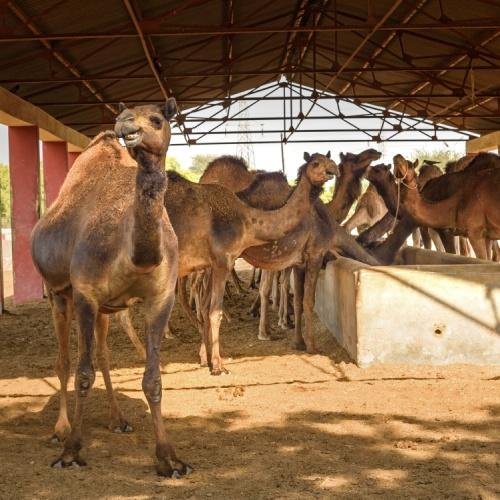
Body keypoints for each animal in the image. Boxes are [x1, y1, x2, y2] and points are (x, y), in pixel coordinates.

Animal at [30, 100, 191, 476]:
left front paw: (170, 459)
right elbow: (82, 373)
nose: (125, 125)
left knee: (102, 354)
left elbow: (152, 379)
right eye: (124, 115)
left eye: (157, 119)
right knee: (64, 359)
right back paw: (60, 429)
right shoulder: (86, 293)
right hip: (58, 295)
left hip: (104, 309)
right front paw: (71, 452)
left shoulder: (161, 298)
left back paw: (118, 419)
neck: (132, 253)